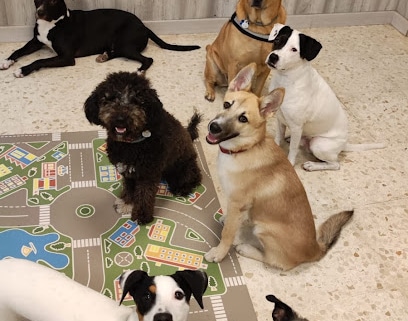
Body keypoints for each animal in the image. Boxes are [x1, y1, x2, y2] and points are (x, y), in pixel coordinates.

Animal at [0, 0, 201, 77]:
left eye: (53, 1)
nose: (39, 13)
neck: (54, 22)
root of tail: (144, 26)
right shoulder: (35, 42)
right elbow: (18, 50)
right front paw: (7, 61)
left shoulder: (66, 57)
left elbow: (40, 61)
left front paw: (22, 70)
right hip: (120, 44)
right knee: (116, 52)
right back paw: (104, 56)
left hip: (125, 43)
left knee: (148, 58)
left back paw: (139, 71)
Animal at [84, 71, 202, 224]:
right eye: (110, 98)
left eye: (137, 100)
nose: (120, 118)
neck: (130, 143)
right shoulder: (127, 170)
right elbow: (129, 188)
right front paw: (126, 203)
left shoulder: (148, 174)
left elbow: (145, 195)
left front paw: (142, 215)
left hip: (184, 167)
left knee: (195, 177)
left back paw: (182, 187)